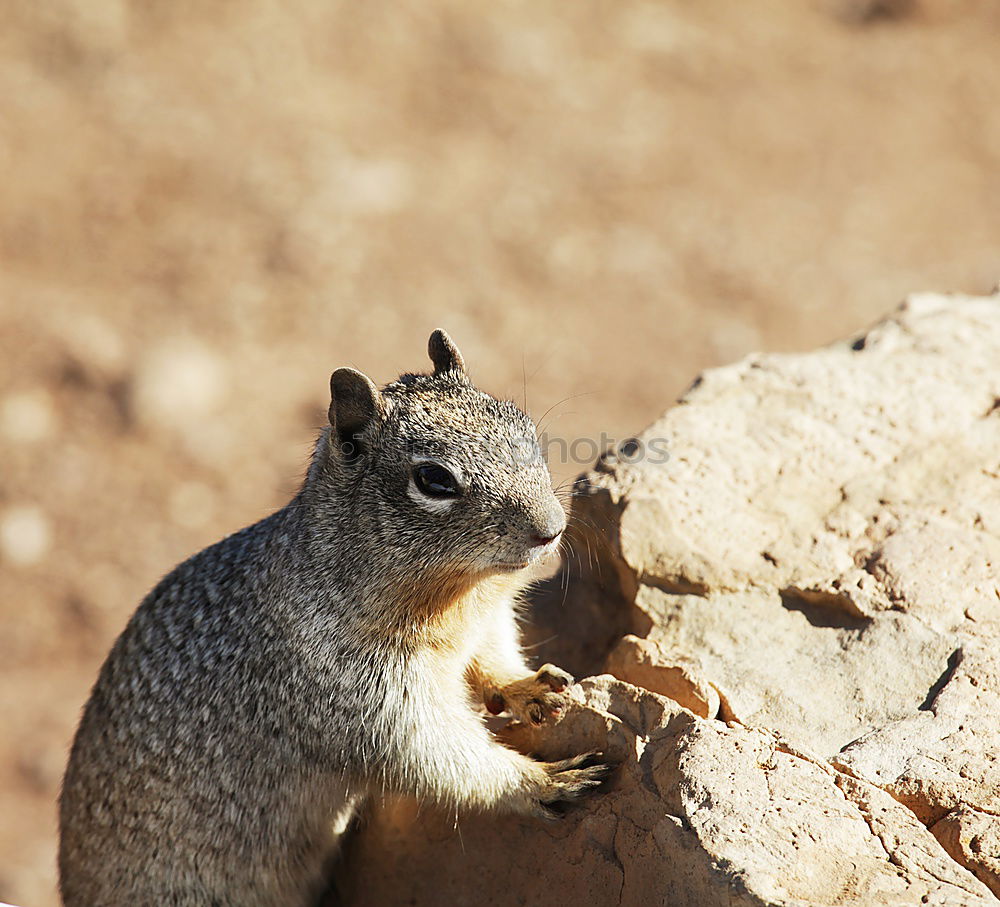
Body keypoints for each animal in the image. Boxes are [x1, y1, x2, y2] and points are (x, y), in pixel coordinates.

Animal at [60, 332, 616, 907]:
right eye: (433, 480)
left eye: (523, 426)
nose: (551, 528)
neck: (457, 598)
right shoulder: (365, 702)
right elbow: (439, 758)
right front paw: (545, 780)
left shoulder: (485, 625)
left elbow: (494, 661)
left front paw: (530, 686)